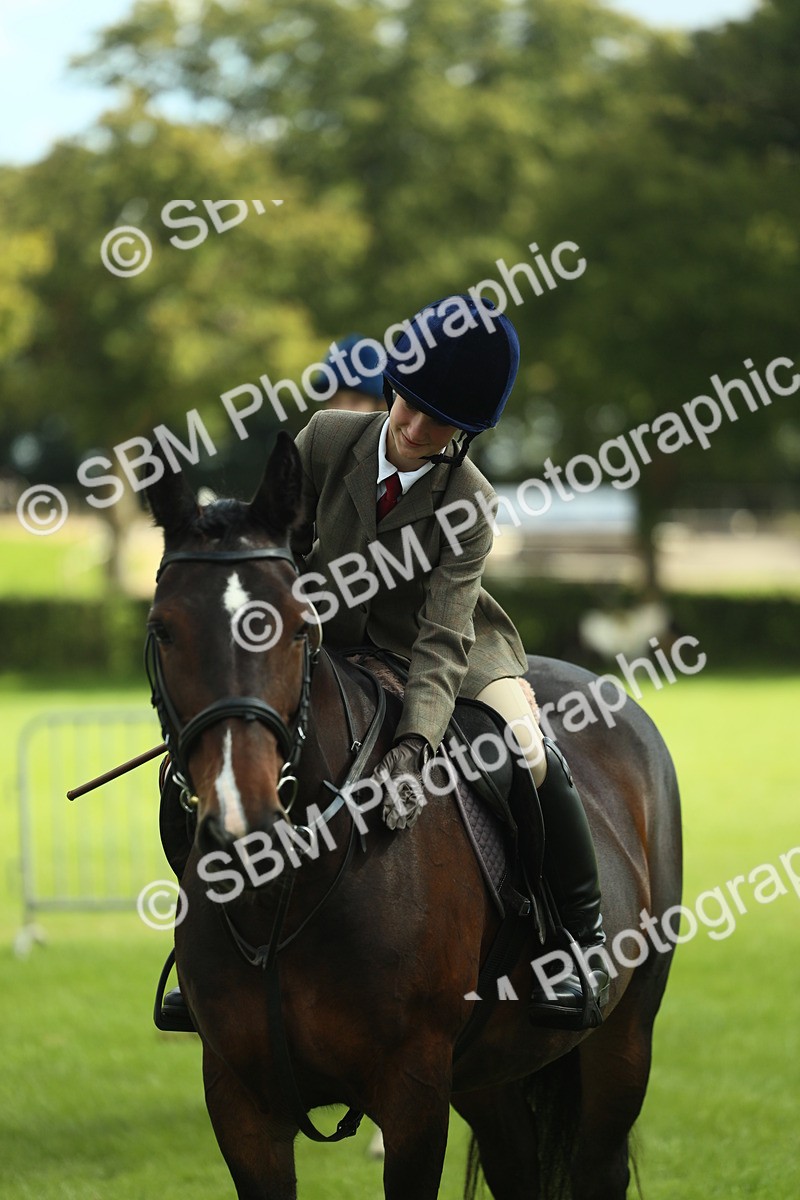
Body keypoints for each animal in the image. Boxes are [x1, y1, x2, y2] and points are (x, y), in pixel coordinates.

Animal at [144, 432, 682, 1200]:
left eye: (297, 627)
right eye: (163, 629)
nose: (243, 818)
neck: (287, 893)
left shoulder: (413, 1096)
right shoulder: (240, 1101)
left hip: (621, 1043)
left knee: (598, 1160)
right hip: (490, 1075)